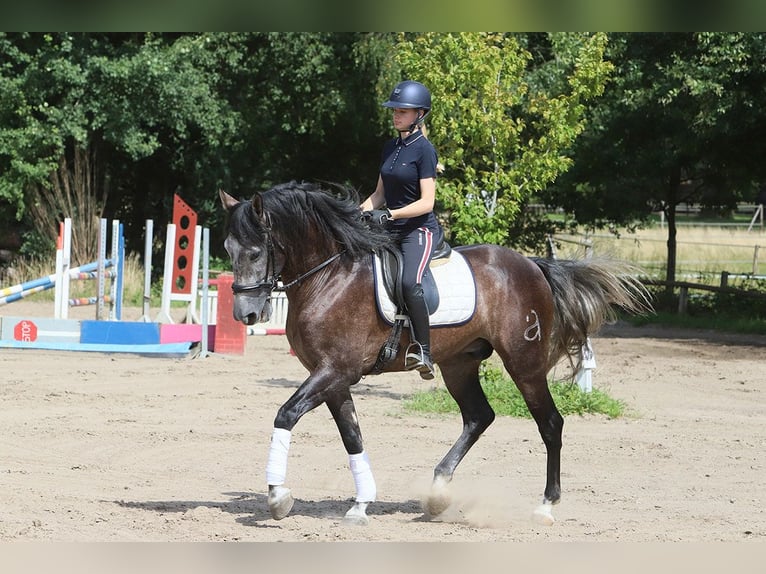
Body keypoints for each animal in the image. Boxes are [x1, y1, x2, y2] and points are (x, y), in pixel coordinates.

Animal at [219, 181, 651, 526]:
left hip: (524, 364)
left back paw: (545, 506)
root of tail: (531, 265)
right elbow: (352, 436)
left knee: (550, 424)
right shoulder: (332, 377)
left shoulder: (336, 371)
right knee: (479, 416)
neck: (329, 277)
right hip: (458, 363)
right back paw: (438, 491)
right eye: (227, 247)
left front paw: (278, 497)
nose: (246, 315)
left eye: (255, 252)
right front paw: (360, 505)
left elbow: (286, 414)